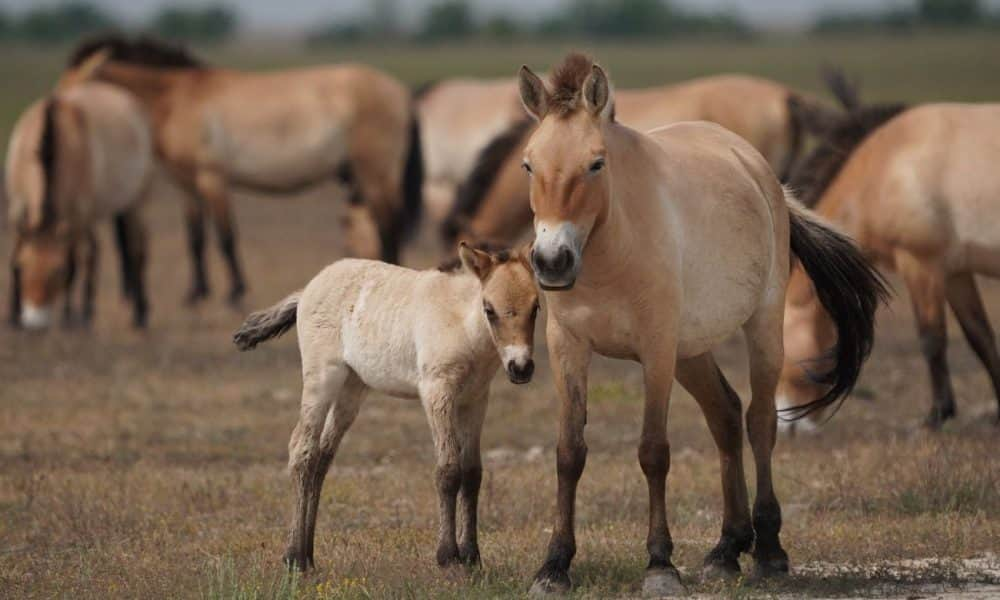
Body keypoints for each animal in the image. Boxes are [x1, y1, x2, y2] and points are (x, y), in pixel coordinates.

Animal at [61, 34, 422, 304]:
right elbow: (196, 237)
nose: (57, 124)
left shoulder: (212, 179)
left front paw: (234, 292)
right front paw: (196, 293)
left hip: (375, 174)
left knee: (389, 225)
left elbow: (225, 236)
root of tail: (400, 92)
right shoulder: (187, 185)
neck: (177, 99)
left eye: (77, 90)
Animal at [233, 243, 540, 572]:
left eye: (536, 307)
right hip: (322, 378)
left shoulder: (476, 399)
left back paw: (308, 555)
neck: (461, 324)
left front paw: (472, 556)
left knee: (321, 457)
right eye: (489, 309)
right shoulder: (437, 393)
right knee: (302, 450)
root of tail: (307, 290)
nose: (521, 368)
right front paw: (448, 556)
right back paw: (293, 558)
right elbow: (448, 470)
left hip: (352, 388)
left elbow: (472, 474)